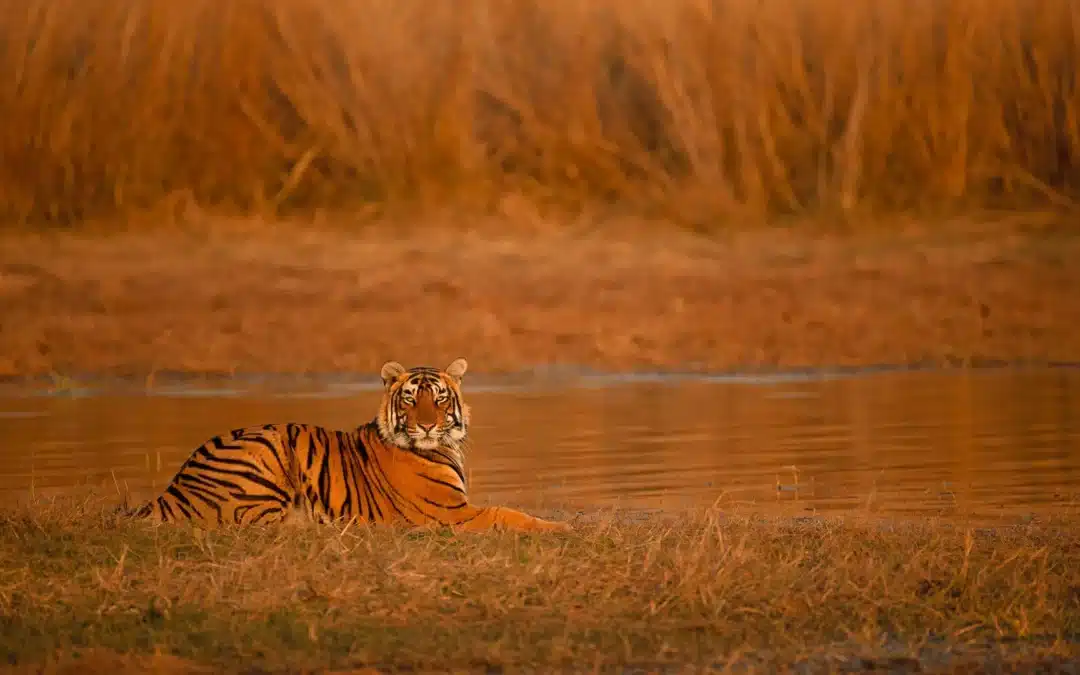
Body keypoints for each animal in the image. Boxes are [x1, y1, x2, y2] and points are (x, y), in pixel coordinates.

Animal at [128, 358, 574, 531]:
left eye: (440, 398)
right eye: (410, 399)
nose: (427, 425)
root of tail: (173, 488)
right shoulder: (451, 514)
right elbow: (508, 513)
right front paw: (562, 527)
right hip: (265, 450)